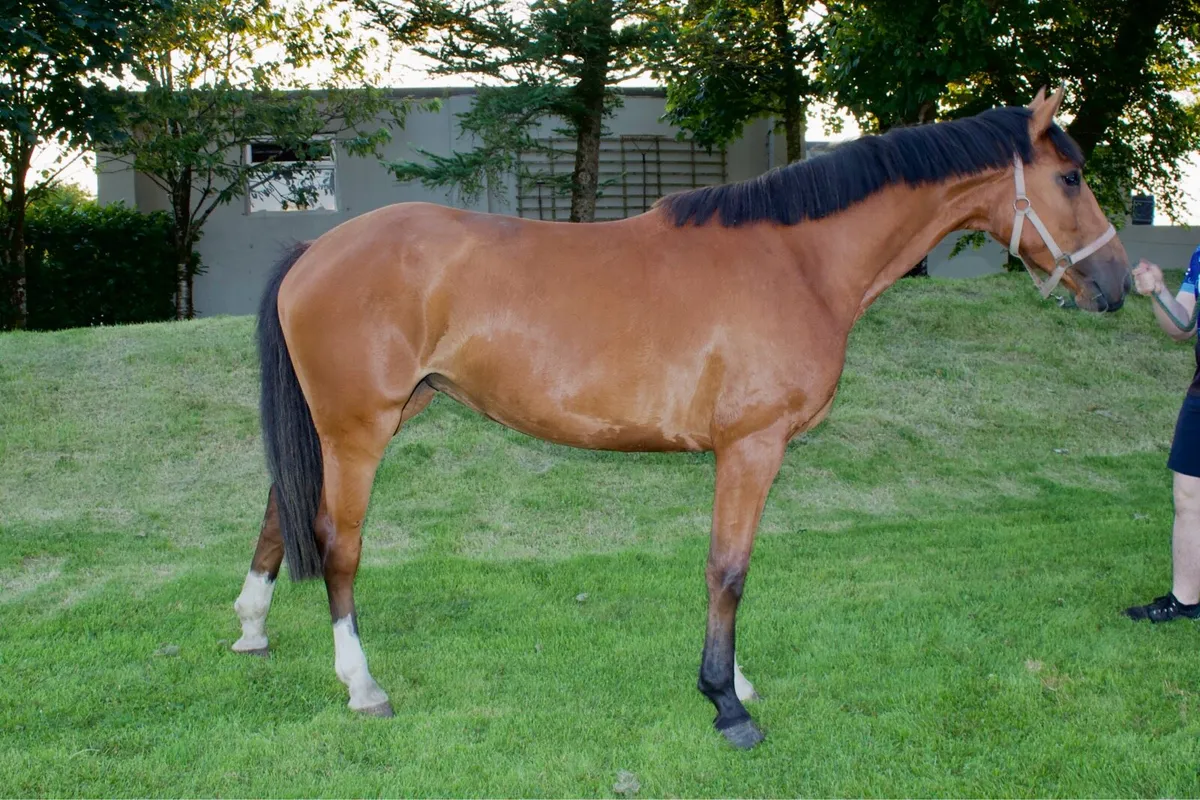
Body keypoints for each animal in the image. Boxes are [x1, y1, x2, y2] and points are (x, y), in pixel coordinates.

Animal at [230, 87, 1130, 749]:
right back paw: (362, 685)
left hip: (354, 423)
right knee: (338, 545)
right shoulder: (751, 448)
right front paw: (726, 703)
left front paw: (735, 680)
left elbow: (729, 568)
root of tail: (313, 251)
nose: (1120, 284)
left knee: (279, 513)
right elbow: (728, 570)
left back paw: (251, 630)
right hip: (358, 430)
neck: (798, 260)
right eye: (1072, 178)